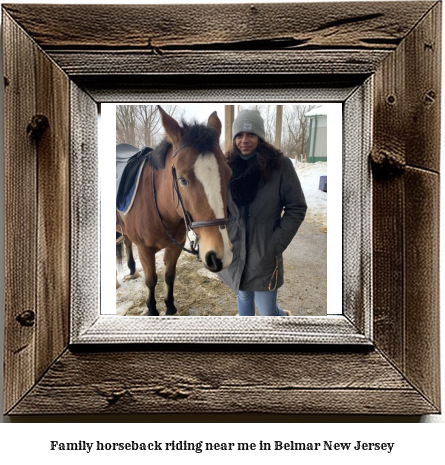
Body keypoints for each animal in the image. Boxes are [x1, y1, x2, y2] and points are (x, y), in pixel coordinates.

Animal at [114, 106, 232, 316]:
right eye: (183, 180)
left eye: (229, 174)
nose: (220, 256)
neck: (160, 207)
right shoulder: (145, 250)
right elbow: (151, 280)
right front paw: (152, 309)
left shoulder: (175, 245)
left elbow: (169, 275)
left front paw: (169, 306)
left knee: (126, 242)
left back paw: (132, 268)